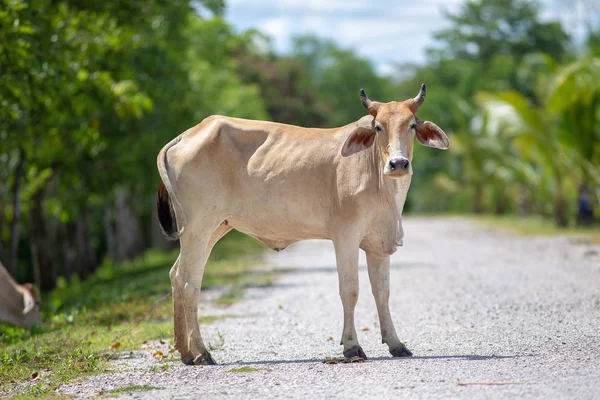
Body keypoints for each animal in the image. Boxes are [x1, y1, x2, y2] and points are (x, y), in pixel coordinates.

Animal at [157, 85, 448, 366]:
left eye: (411, 125)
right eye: (378, 127)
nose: (398, 164)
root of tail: (186, 135)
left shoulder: (377, 244)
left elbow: (382, 293)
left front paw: (396, 345)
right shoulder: (345, 236)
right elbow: (350, 290)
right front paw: (352, 347)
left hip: (214, 228)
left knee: (175, 275)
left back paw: (185, 352)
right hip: (198, 227)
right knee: (189, 282)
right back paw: (201, 352)